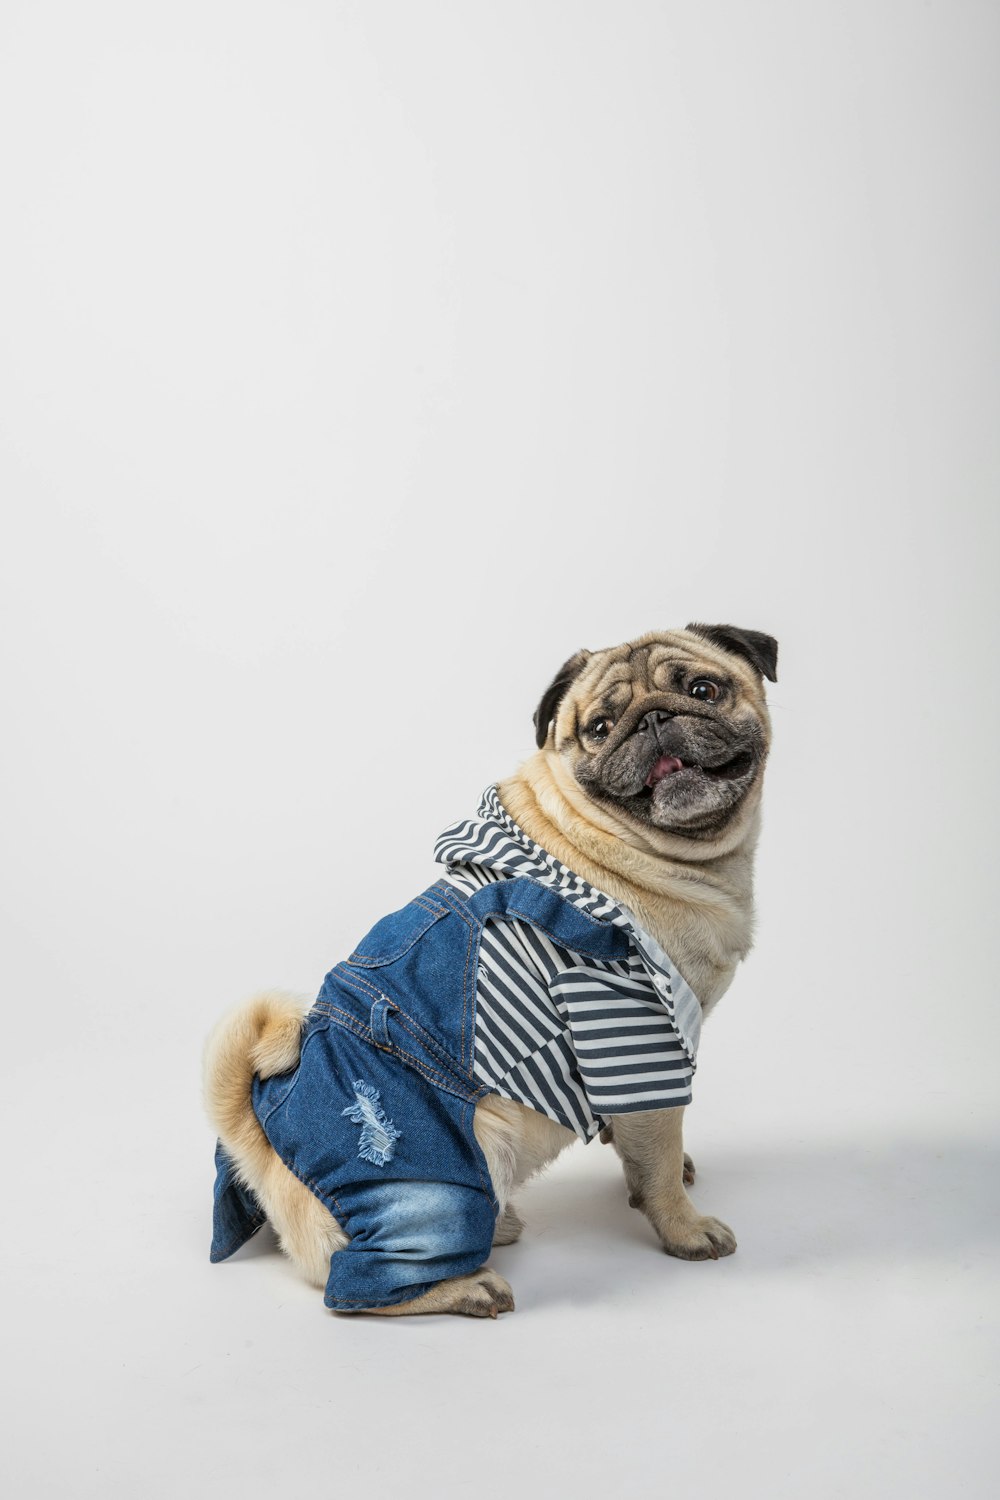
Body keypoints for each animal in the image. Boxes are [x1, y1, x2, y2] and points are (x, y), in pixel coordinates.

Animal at [203, 627, 779, 1320]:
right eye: (600, 728)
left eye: (703, 689)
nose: (653, 720)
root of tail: (262, 1147)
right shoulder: (634, 1031)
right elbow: (658, 1158)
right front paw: (685, 1226)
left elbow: (644, 1141)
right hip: (438, 1188)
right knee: (356, 1286)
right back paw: (467, 1286)